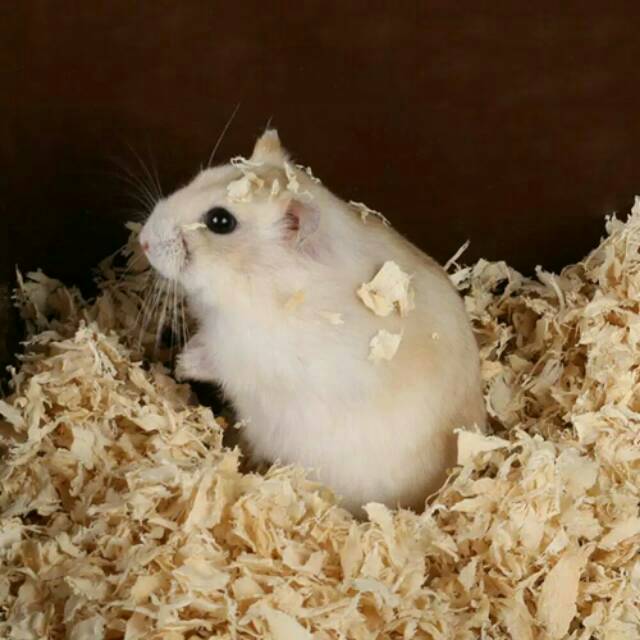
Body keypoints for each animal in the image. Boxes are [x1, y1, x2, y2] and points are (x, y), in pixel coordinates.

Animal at [139, 130, 485, 514]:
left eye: (220, 221)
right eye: (199, 177)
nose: (142, 241)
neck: (258, 282)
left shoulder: (248, 351)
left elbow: (216, 359)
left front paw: (183, 363)